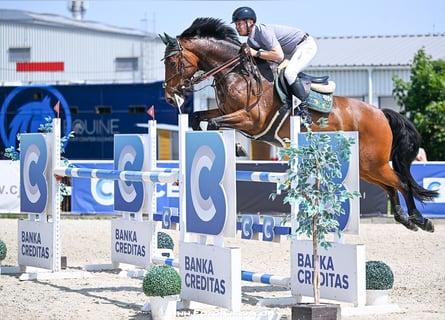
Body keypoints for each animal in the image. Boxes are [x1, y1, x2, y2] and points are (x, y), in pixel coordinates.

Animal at [159, 17, 434, 232]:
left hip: (373, 162)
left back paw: (420, 220)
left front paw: (237, 149)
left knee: (402, 183)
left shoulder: (250, 120)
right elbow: (198, 118)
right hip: (366, 166)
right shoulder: (227, 110)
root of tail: (380, 113)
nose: (170, 97)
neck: (236, 72)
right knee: (390, 186)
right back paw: (403, 218)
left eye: (172, 62)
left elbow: (216, 123)